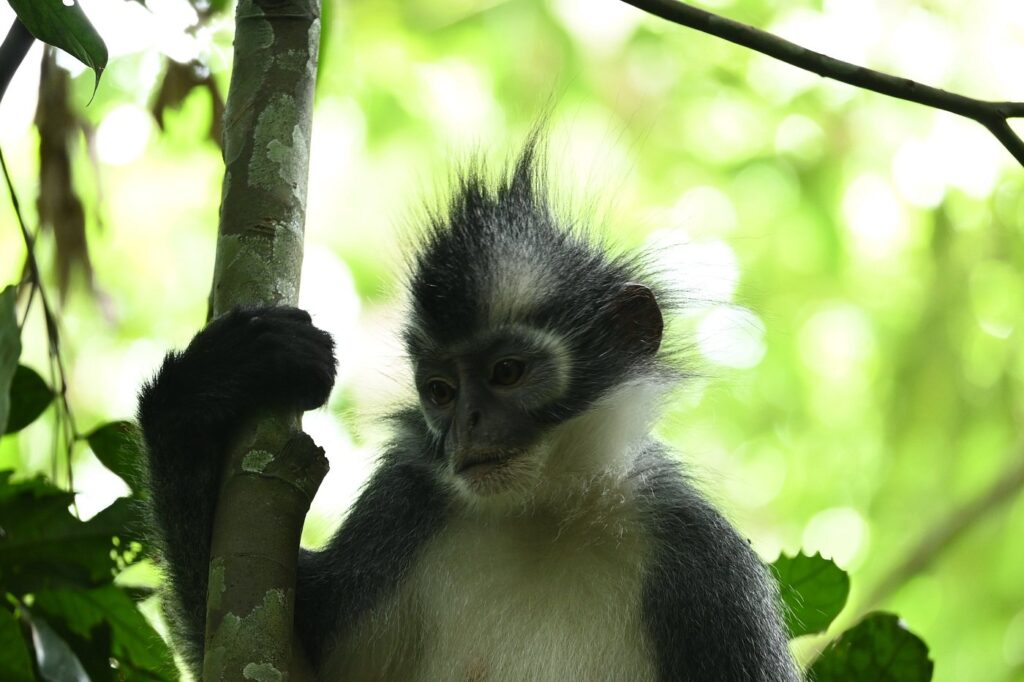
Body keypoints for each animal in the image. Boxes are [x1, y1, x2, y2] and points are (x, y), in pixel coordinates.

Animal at [138, 141, 800, 681]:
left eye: (507, 372)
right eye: (441, 391)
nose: (466, 427)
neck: (544, 513)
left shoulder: (705, 566)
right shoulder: (406, 502)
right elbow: (258, 650)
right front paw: (199, 391)